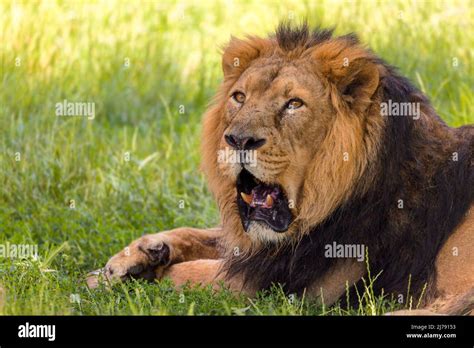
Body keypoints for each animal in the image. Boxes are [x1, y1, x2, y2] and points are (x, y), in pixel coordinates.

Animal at [87, 22, 472, 316]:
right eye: (239, 97)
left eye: (294, 104)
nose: (238, 140)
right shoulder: (258, 250)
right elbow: (199, 234)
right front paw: (127, 261)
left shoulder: (286, 286)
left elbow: (187, 275)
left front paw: (146, 275)